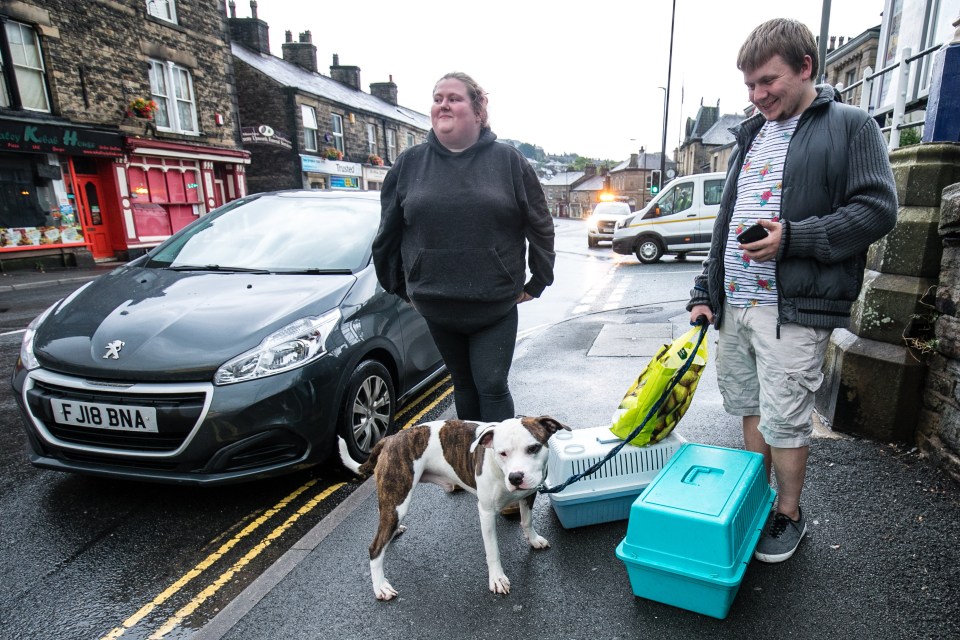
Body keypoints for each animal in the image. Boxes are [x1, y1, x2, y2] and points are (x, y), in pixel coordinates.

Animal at [336, 416, 568, 600]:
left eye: (533, 448)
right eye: (502, 453)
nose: (516, 477)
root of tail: (390, 438)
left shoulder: (528, 495)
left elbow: (527, 520)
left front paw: (534, 539)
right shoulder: (486, 512)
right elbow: (493, 550)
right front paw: (497, 578)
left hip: (392, 501)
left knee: (383, 518)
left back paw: (395, 531)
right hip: (399, 496)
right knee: (375, 547)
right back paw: (380, 587)